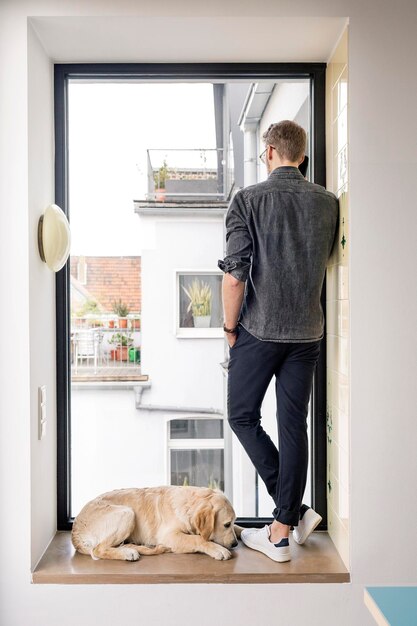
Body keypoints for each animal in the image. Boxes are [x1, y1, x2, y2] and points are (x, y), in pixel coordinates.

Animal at [72, 482, 240, 560]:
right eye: (226, 525)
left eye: (232, 522)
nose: (235, 544)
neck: (186, 504)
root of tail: (75, 530)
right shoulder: (169, 536)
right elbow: (198, 539)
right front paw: (218, 549)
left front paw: (241, 529)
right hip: (127, 513)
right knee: (98, 549)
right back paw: (128, 553)